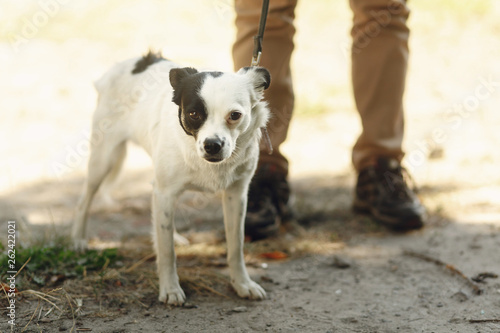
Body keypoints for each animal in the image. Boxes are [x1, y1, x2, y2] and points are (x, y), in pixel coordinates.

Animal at [71, 51, 270, 304]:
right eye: (193, 114)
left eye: (235, 116)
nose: (212, 145)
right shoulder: (164, 192)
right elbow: (167, 253)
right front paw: (170, 288)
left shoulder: (236, 195)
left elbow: (236, 246)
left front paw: (242, 284)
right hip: (103, 159)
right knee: (83, 201)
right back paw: (78, 240)